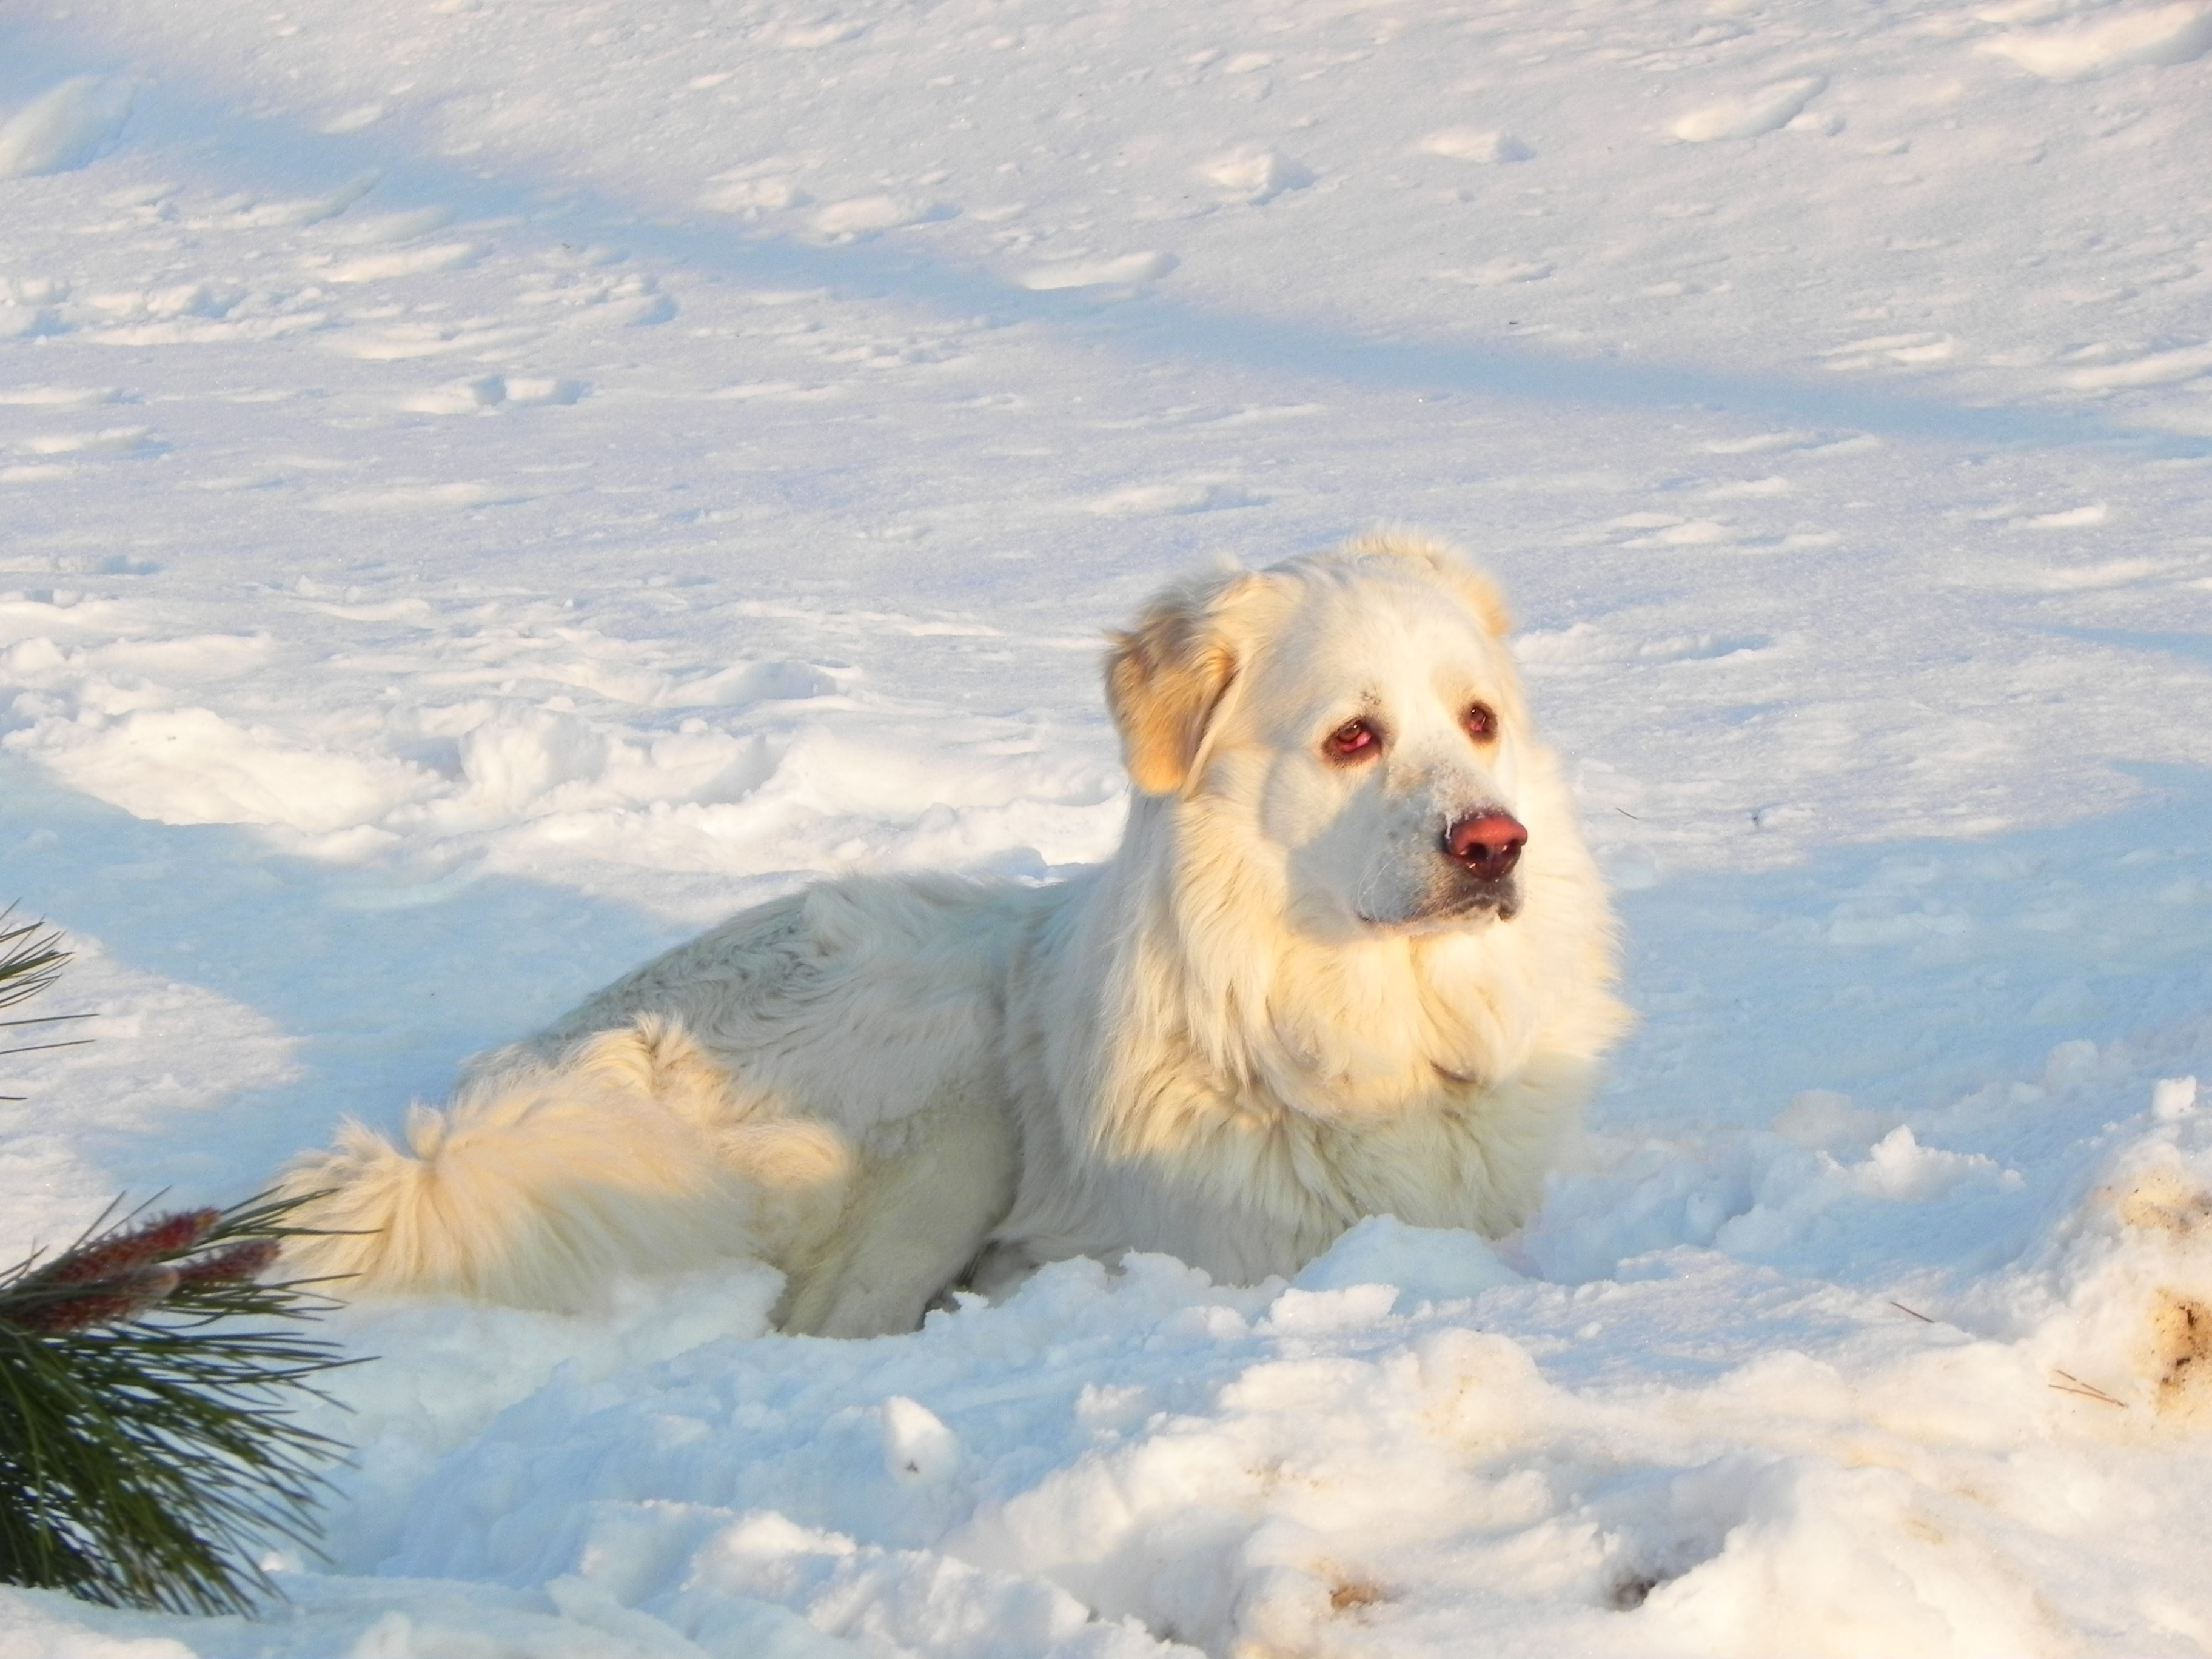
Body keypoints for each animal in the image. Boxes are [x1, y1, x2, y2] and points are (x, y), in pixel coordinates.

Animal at [272, 533, 1627, 1336]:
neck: (1375, 1032)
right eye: (1353, 735)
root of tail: (518, 1091)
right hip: (947, 1084)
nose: (1494, 843)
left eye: (1478, 720)